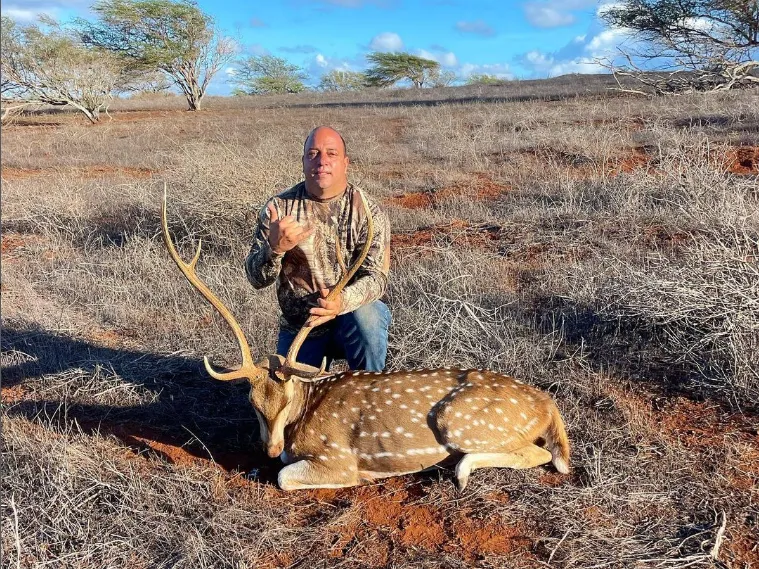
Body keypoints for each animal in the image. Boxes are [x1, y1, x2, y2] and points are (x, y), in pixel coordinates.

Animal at [161, 187, 570, 491]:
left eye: (289, 399)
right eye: (252, 401)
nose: (272, 448)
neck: (302, 420)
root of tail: (548, 405)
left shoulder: (336, 457)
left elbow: (284, 476)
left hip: (462, 421)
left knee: (545, 455)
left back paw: (461, 469)